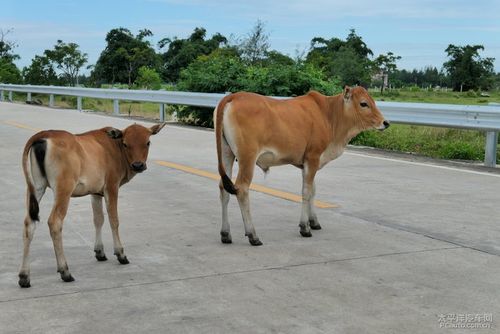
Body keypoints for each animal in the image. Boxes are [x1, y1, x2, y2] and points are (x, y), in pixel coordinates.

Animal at [18, 122, 166, 288]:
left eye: (148, 142)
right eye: (125, 143)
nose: (138, 165)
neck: (114, 147)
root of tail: (44, 135)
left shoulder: (95, 193)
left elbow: (98, 219)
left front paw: (100, 252)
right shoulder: (111, 187)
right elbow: (114, 220)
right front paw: (120, 253)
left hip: (36, 187)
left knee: (29, 223)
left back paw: (24, 276)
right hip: (63, 189)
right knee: (54, 222)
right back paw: (65, 271)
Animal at [213, 86, 388, 245]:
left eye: (373, 101)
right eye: (364, 103)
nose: (385, 122)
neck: (329, 115)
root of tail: (232, 97)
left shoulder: (308, 163)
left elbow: (313, 191)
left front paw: (314, 222)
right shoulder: (313, 157)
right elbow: (306, 192)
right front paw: (305, 227)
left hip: (227, 153)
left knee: (223, 188)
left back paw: (225, 233)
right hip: (247, 158)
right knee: (241, 189)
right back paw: (253, 235)